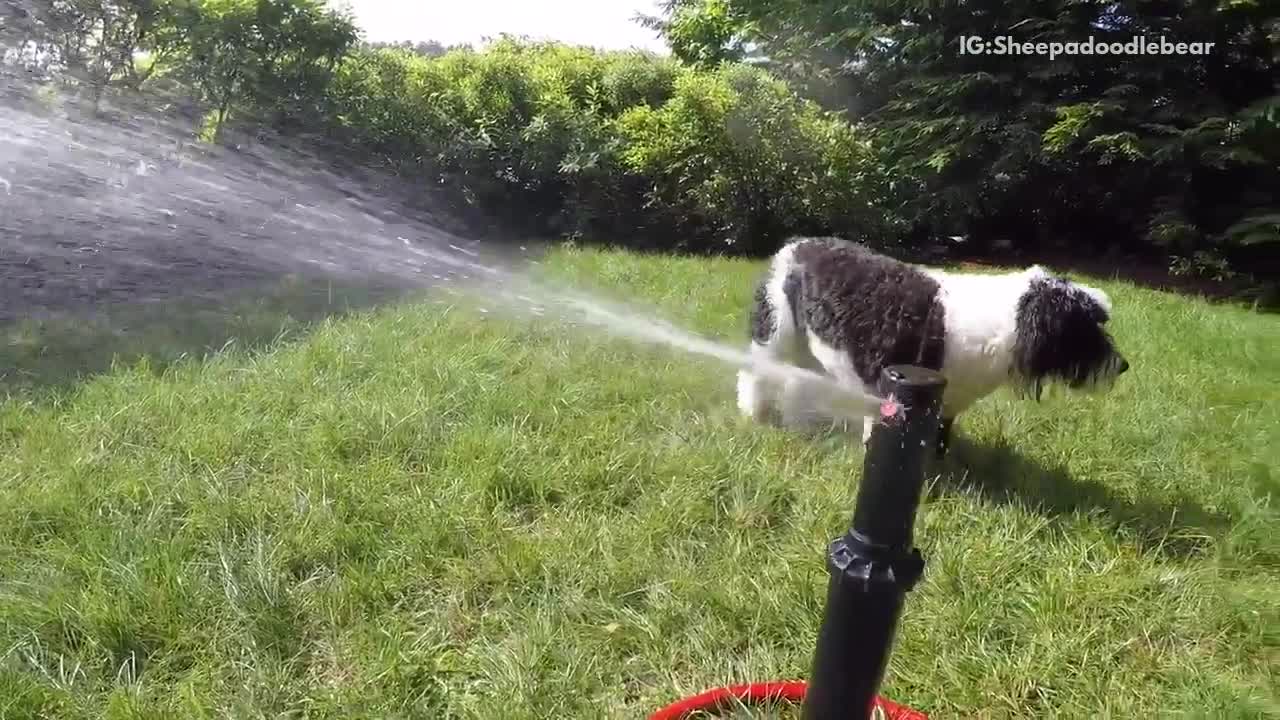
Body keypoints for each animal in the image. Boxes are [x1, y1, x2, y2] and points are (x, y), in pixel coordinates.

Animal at [737, 238, 1126, 456]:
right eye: (1085, 327)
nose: (1122, 365)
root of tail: (796, 244)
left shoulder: (944, 406)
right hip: (776, 330)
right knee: (756, 374)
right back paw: (755, 414)